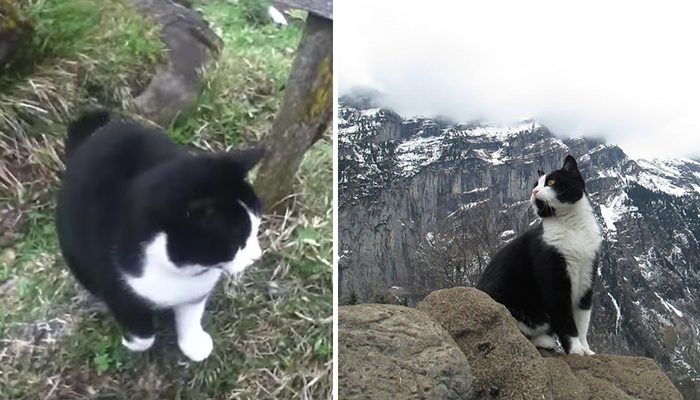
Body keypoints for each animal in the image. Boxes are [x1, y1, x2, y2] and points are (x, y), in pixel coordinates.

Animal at [56, 110, 264, 362]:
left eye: (257, 227)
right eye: (237, 241)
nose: (257, 256)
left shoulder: (195, 289)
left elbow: (191, 313)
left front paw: (193, 343)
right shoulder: (117, 288)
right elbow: (143, 335)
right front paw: (131, 341)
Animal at [476, 155, 600, 354]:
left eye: (551, 182)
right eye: (535, 184)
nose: (534, 191)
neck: (572, 227)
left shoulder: (587, 276)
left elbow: (582, 320)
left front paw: (586, 350)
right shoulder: (553, 277)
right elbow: (565, 318)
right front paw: (575, 350)